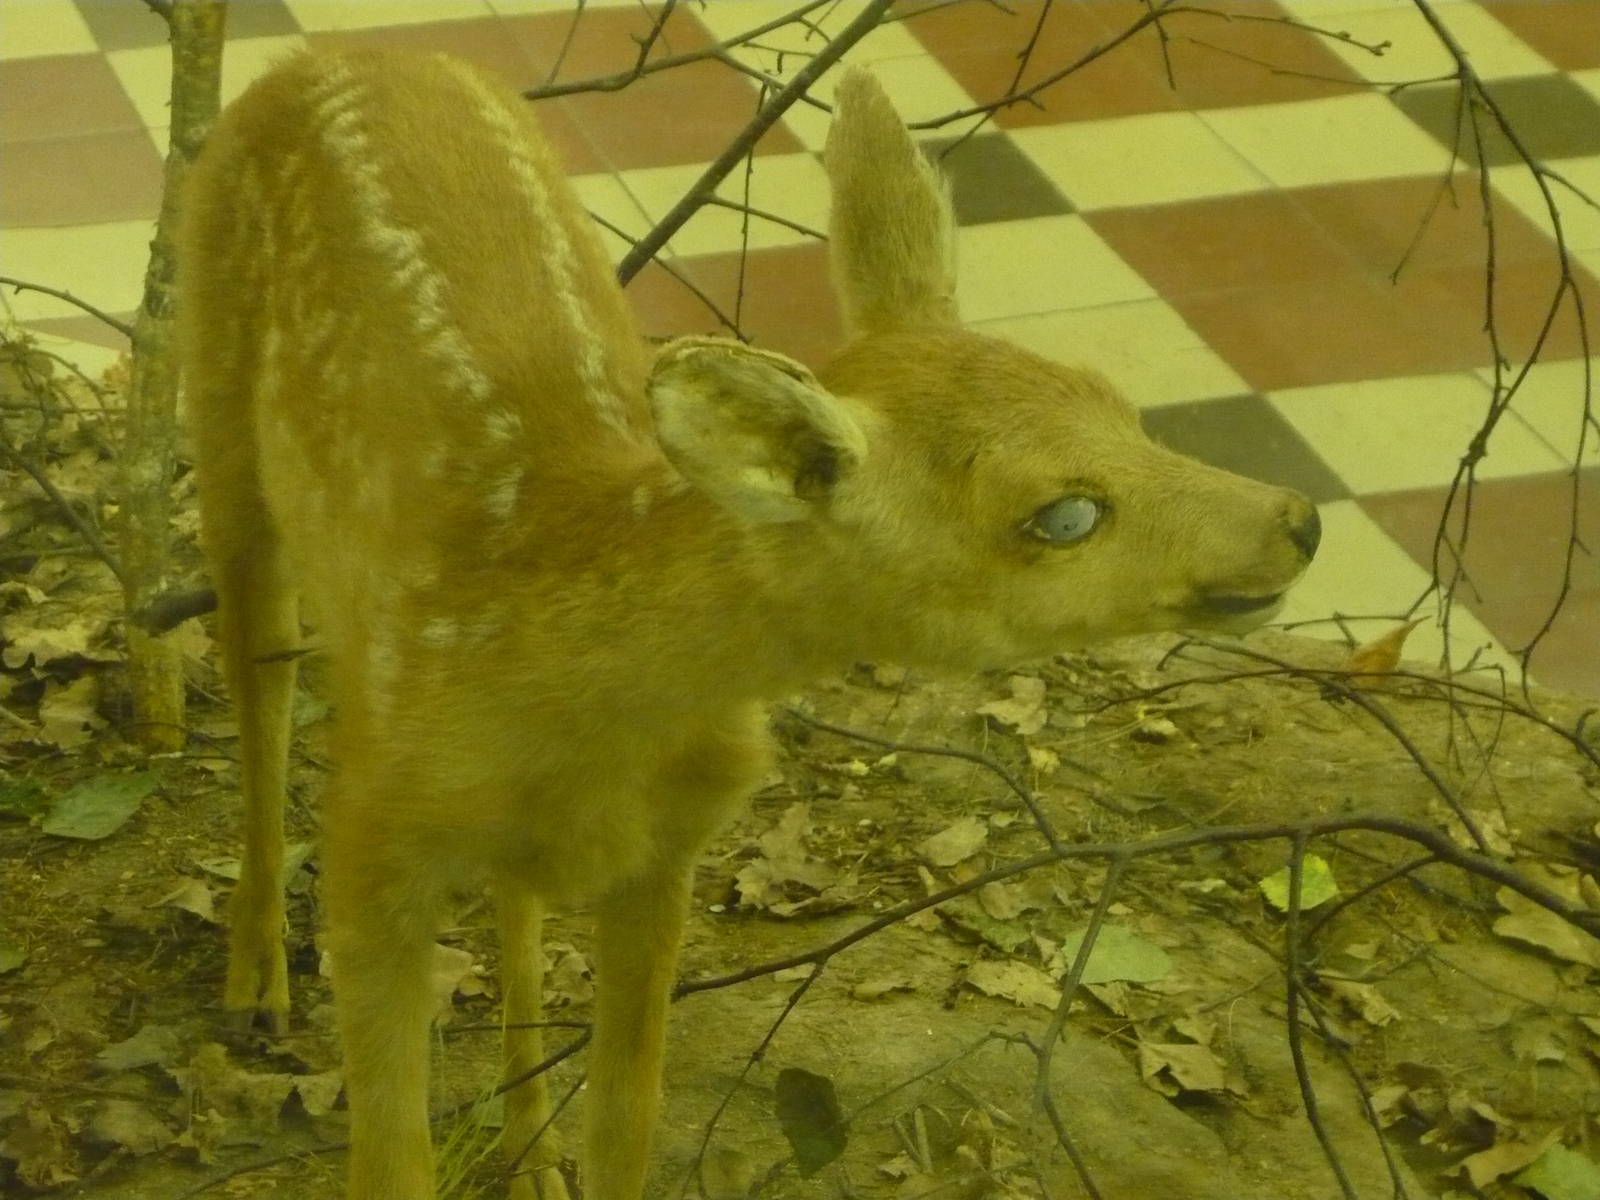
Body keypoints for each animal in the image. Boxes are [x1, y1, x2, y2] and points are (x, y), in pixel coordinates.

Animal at [176, 46, 1319, 1200]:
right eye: (1065, 514)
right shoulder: (376, 844)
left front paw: (564, 1147)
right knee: (256, 667)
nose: (1300, 520)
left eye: (1120, 403)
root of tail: (331, 51)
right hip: (219, 402)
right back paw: (255, 979)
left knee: (514, 897)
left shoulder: (668, 852)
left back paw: (527, 1152)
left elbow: (626, 1124)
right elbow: (389, 1158)